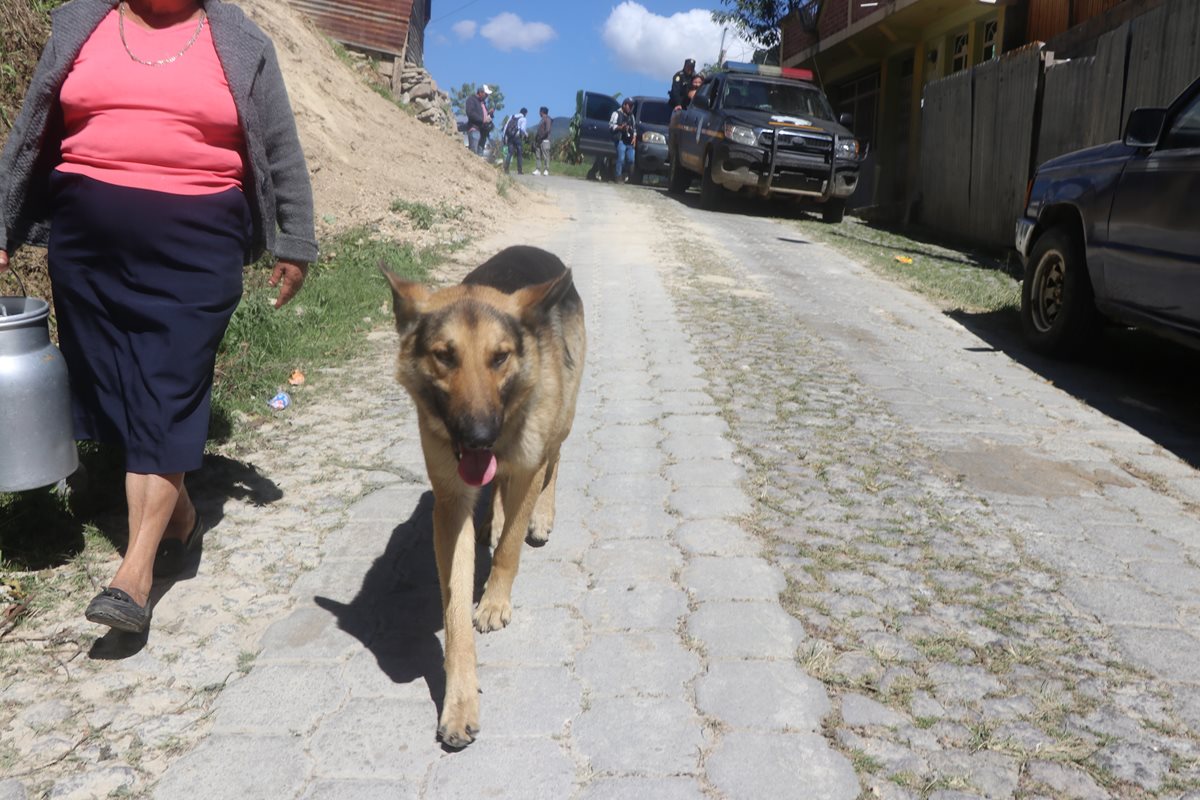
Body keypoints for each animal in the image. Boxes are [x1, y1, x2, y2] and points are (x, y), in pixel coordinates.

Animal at [384, 245, 585, 753]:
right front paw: (458, 703)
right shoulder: (450, 504)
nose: (479, 437)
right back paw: (490, 519)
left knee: (554, 461)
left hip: (561, 420)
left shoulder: (527, 468)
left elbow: (510, 548)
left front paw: (494, 600)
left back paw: (542, 516)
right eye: (444, 356)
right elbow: (454, 609)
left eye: (500, 358)